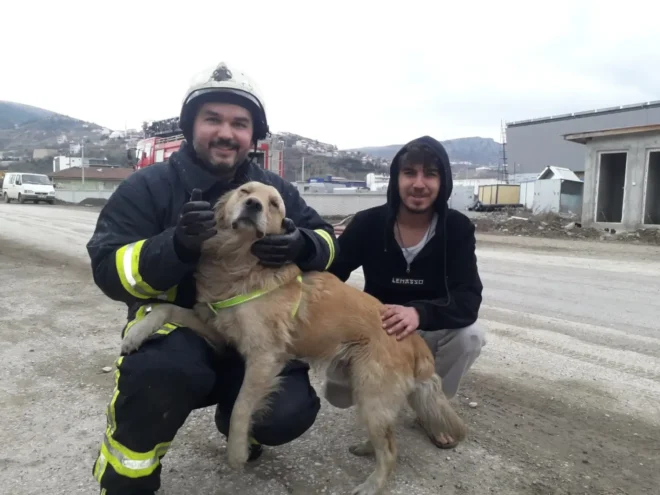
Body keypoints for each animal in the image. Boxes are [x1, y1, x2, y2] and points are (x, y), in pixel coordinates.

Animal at [121, 181, 466, 495]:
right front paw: (137, 333)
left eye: (274, 203)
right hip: (364, 392)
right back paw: (368, 448)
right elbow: (166, 308)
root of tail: (414, 339)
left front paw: (237, 452)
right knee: (387, 435)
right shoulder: (218, 332)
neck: (239, 264)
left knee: (391, 450)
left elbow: (241, 408)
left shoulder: (263, 357)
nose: (253, 206)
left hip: (371, 393)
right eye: (245, 191)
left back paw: (372, 485)